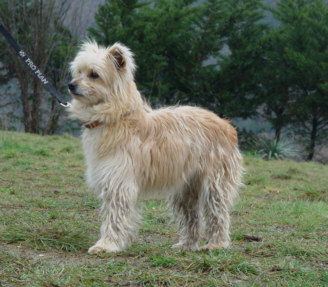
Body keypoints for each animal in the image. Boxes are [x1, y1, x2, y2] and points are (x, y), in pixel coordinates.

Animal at [68, 41, 243, 254]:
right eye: (78, 72)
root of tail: (226, 125)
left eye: (94, 74)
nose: (71, 85)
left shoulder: (118, 184)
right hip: (185, 189)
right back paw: (187, 244)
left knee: (217, 214)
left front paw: (107, 244)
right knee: (192, 218)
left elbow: (114, 217)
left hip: (214, 185)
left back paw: (216, 243)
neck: (118, 117)